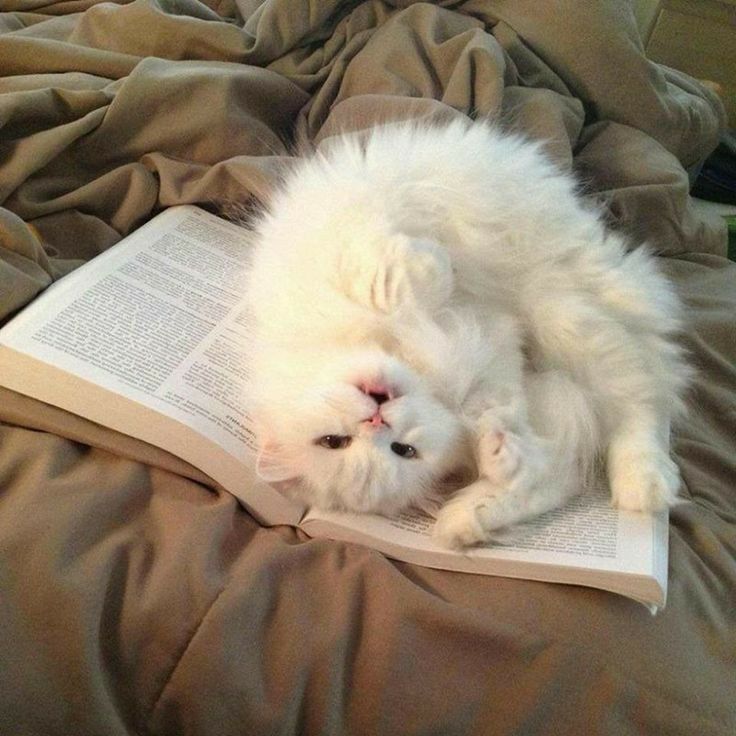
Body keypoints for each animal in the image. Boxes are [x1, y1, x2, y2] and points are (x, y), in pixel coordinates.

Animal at [243, 121, 688, 548]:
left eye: (332, 441)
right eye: (403, 451)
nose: (377, 418)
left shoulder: (362, 260)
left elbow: (399, 280)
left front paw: (432, 265)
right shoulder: (498, 371)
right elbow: (513, 436)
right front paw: (498, 451)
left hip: (563, 314)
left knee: (641, 399)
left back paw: (643, 485)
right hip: (570, 354)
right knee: (577, 460)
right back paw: (467, 521)